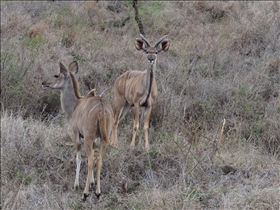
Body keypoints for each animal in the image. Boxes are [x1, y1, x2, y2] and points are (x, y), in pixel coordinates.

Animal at [41, 60, 113, 200]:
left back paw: (85, 193)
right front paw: (92, 183)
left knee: (91, 160)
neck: (75, 105)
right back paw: (98, 192)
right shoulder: (95, 139)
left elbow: (79, 158)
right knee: (99, 160)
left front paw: (76, 185)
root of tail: (102, 109)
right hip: (103, 138)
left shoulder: (77, 134)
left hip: (88, 138)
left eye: (56, 75)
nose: (44, 82)